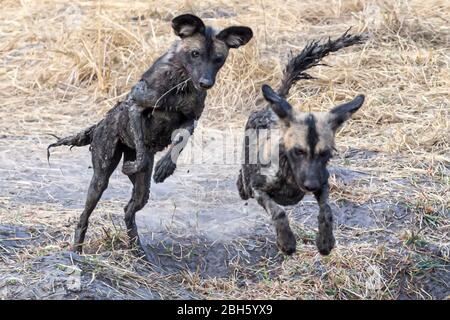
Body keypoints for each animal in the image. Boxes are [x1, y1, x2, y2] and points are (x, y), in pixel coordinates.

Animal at [49, 13, 255, 252]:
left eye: (218, 59)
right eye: (195, 54)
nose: (206, 83)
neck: (180, 83)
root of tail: (99, 123)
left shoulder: (191, 120)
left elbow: (180, 141)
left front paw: (165, 167)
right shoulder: (136, 107)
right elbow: (139, 150)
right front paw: (134, 166)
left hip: (141, 191)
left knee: (129, 210)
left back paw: (138, 250)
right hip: (100, 178)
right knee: (85, 215)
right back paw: (77, 250)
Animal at [237, 31, 368, 255]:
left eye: (326, 154)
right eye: (298, 151)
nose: (310, 185)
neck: (290, 176)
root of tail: (271, 107)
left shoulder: (323, 183)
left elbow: (327, 210)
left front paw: (325, 242)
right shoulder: (258, 190)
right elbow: (279, 212)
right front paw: (287, 242)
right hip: (248, 175)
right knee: (243, 180)